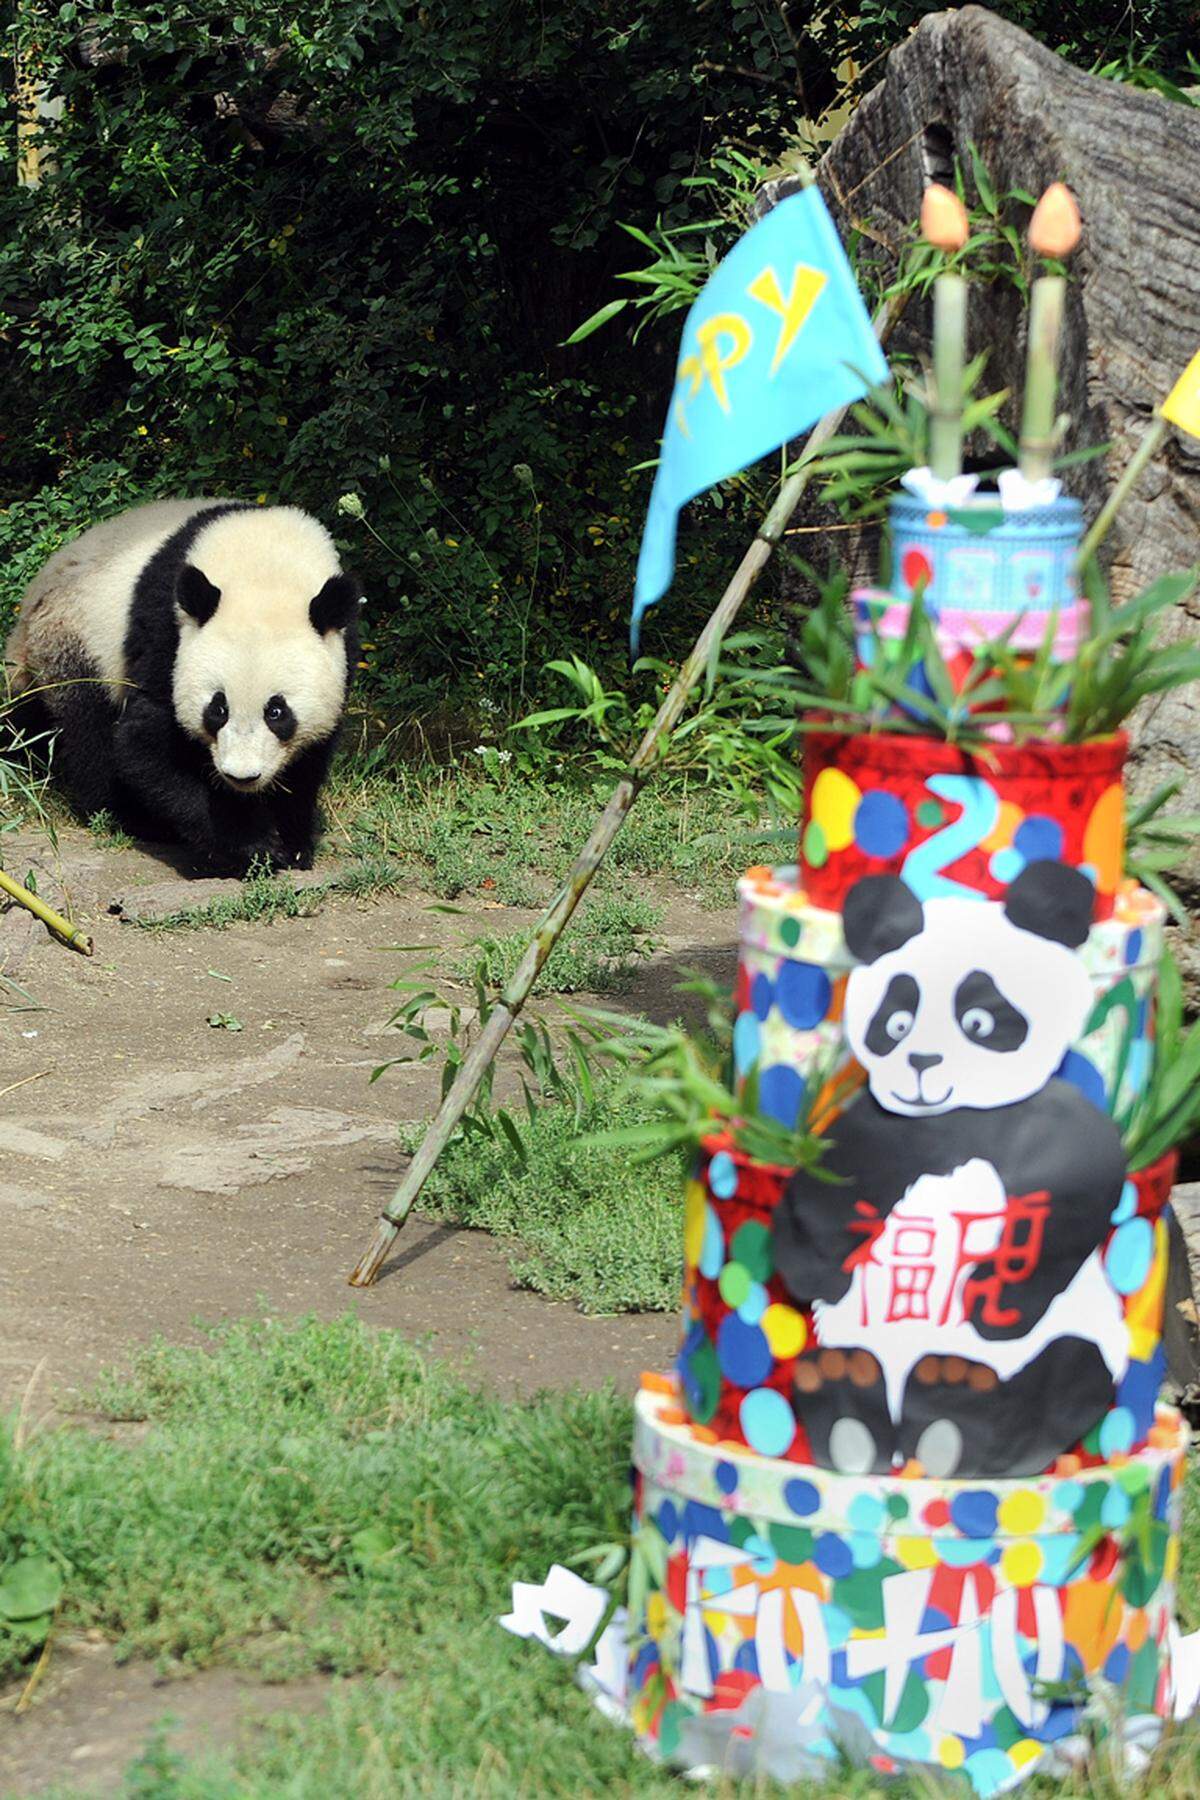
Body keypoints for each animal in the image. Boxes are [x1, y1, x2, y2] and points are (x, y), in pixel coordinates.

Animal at [5, 504, 361, 874]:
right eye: (218, 709)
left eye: (276, 712)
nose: (241, 776)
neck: (267, 568)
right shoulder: (167, 630)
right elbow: (145, 742)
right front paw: (253, 844)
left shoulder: (342, 650)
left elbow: (310, 758)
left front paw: (293, 843)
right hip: (78, 643)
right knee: (90, 732)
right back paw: (130, 817)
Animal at [773, 867, 1129, 1476]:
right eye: (896, 1021)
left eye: (979, 1019)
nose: (922, 1062)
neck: (959, 1120)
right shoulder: (884, 1130)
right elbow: (829, 1186)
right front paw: (818, 1273)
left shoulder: (1046, 1127)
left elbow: (1076, 1196)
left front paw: (993, 1303)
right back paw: (847, 1398)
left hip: (1079, 1340)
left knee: (1064, 1376)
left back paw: (957, 1408)